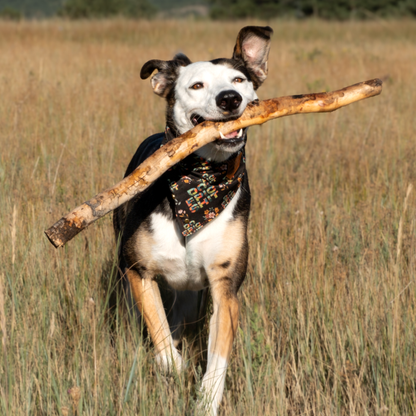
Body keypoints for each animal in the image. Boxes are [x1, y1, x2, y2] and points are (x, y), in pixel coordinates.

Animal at [114, 26, 272, 416]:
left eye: (238, 80)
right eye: (197, 86)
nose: (230, 99)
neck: (200, 180)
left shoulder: (225, 286)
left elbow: (218, 356)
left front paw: (206, 399)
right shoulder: (138, 271)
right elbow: (158, 331)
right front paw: (173, 365)